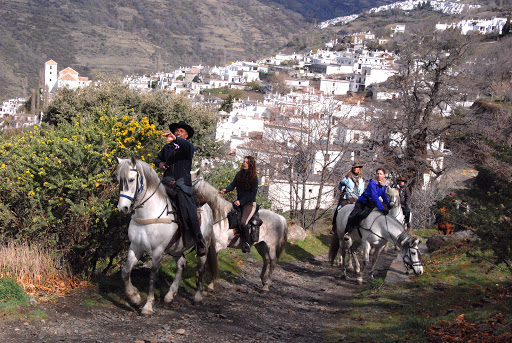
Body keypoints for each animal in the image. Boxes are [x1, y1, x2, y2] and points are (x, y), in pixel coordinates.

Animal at [116, 157, 218, 316]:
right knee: (181, 263)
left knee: (200, 268)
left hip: (203, 245)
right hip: (176, 248)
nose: (123, 208)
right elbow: (125, 272)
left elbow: (152, 277)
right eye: (118, 180)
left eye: (132, 179)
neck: (148, 214)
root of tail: (207, 207)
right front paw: (135, 297)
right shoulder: (135, 247)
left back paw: (198, 296)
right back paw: (170, 295)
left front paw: (147, 306)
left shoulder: (157, 251)